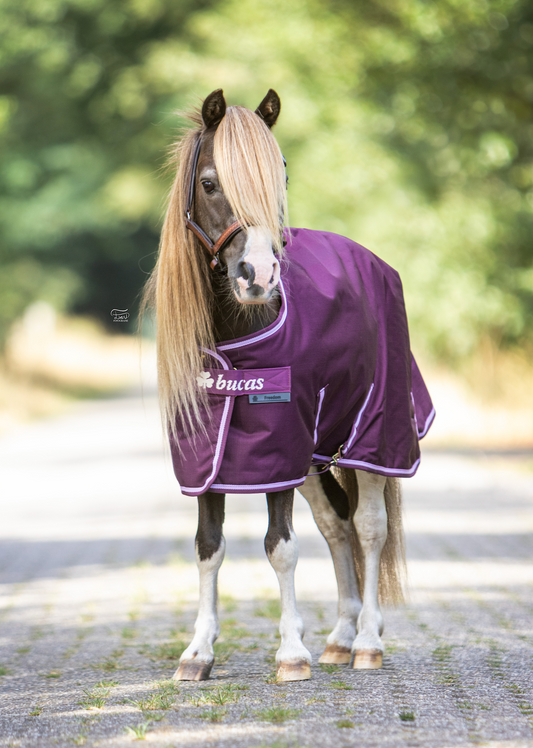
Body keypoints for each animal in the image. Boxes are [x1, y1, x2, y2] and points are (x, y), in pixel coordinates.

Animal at [141, 88, 435, 682]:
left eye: (281, 173)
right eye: (210, 183)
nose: (258, 276)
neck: (235, 343)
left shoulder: (279, 447)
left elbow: (281, 547)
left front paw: (291, 654)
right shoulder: (208, 459)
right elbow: (209, 546)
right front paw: (197, 653)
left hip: (374, 436)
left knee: (369, 526)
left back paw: (367, 641)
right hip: (315, 454)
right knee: (336, 524)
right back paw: (339, 639)